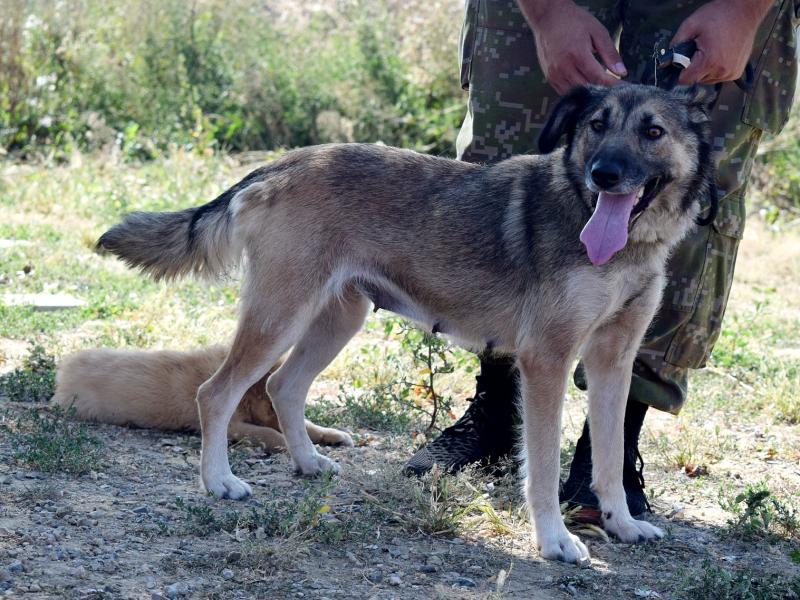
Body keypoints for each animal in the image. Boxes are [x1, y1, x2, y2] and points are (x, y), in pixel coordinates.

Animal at [96, 83, 716, 563]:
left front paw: (621, 523)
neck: (621, 242)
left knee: (282, 386)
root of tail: (280, 163)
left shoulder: (613, 364)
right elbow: (540, 467)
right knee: (217, 392)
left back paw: (307, 463)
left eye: (653, 131)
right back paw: (218, 482)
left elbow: (608, 458)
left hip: (337, 319)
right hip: (280, 316)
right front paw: (554, 540)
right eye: (596, 125)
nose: (604, 173)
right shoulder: (548, 361)